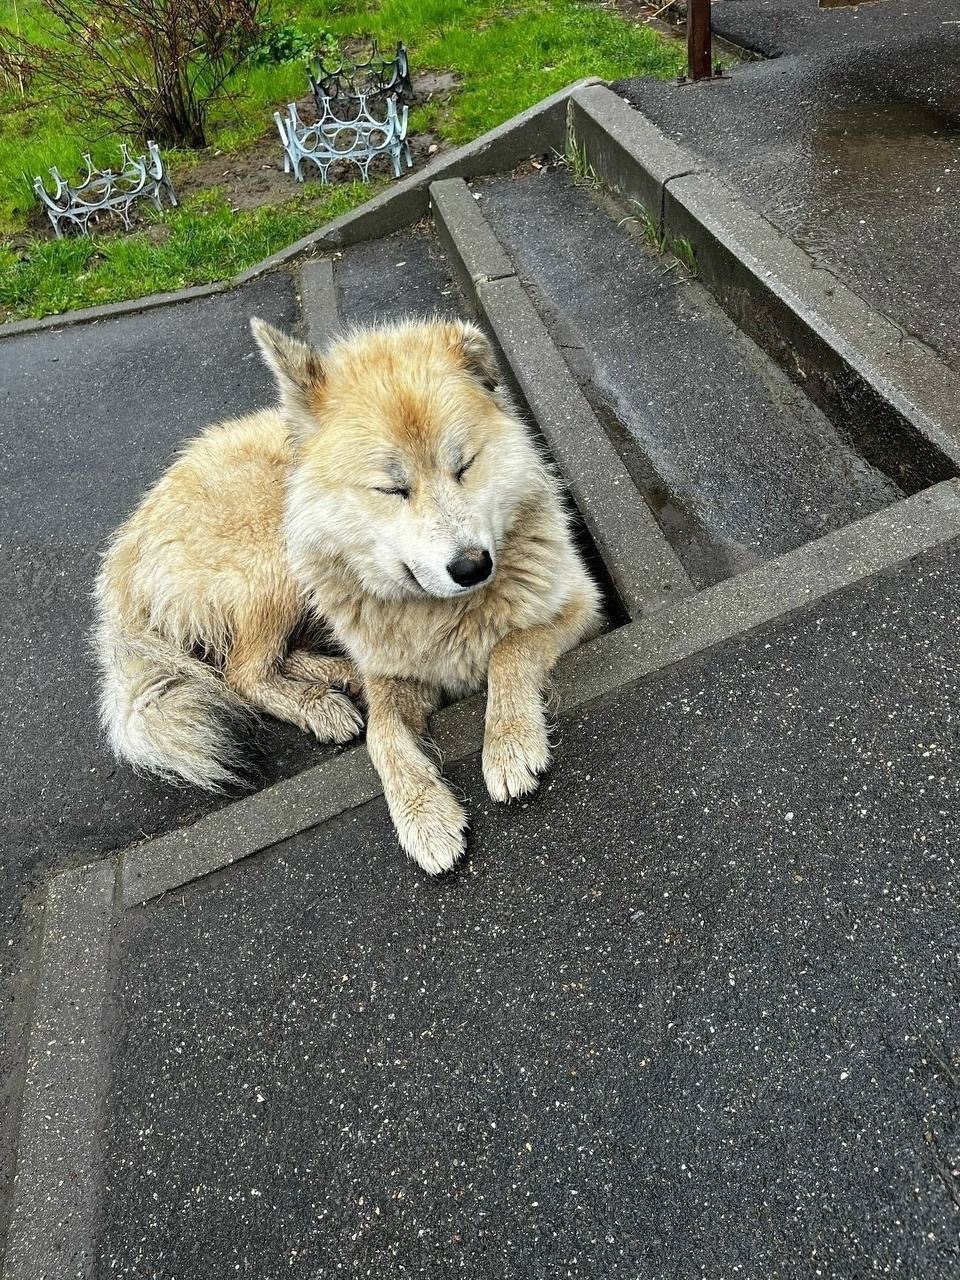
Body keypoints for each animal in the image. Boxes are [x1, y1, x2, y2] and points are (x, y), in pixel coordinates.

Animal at [94, 315, 602, 874]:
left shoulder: (583, 605)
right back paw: (320, 702)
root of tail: (127, 545)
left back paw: (337, 676)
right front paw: (422, 814)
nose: (473, 567)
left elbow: (510, 649)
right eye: (391, 489)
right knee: (240, 672)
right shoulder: (396, 676)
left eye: (464, 466)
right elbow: (382, 735)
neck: (444, 614)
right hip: (278, 561)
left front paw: (508, 743)